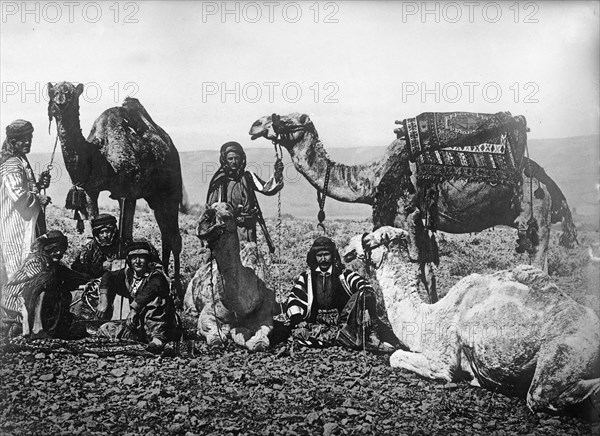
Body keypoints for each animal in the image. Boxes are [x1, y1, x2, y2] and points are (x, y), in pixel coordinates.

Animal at [47, 81, 183, 294]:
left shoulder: (128, 192)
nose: (59, 102)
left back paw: (176, 289)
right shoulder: (91, 191)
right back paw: (166, 276)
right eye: (53, 92)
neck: (98, 155)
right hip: (155, 196)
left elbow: (127, 237)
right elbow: (94, 227)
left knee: (175, 238)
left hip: (171, 189)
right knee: (166, 234)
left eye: (70, 93)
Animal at [192, 204, 276, 350]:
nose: (205, 218)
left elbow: (260, 342)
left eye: (227, 216)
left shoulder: (265, 316)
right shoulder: (210, 309)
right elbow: (215, 337)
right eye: (211, 206)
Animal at [248, 112, 576, 304]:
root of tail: (547, 180)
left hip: (537, 215)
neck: (373, 178)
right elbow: (426, 271)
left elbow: (416, 269)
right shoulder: (418, 223)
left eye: (287, 118)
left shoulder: (406, 215)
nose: (255, 125)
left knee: (540, 264)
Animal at [342, 228, 600, 416]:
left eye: (369, 238)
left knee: (539, 396)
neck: (427, 316)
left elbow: (396, 357)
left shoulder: (441, 360)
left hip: (562, 355)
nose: (347, 247)